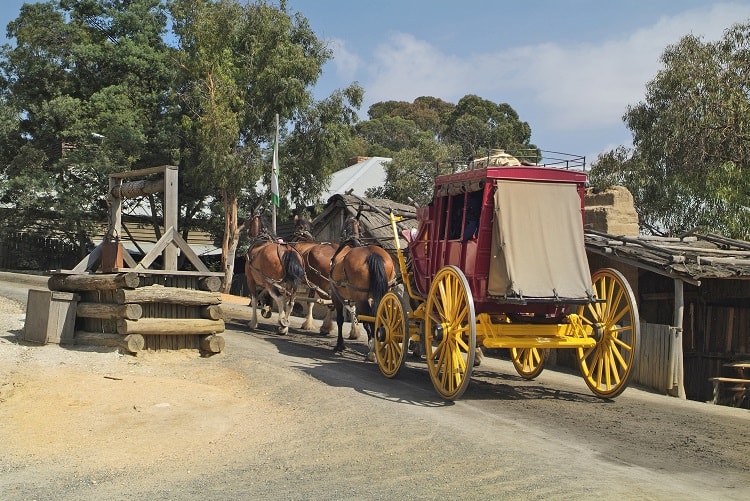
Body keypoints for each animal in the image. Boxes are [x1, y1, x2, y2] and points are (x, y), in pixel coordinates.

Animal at [330, 215, 400, 356]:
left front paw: (340, 344)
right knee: (381, 315)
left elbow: (340, 319)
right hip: (385, 291)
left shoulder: (336, 295)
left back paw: (373, 350)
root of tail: (372, 254)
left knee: (371, 316)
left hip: (360, 296)